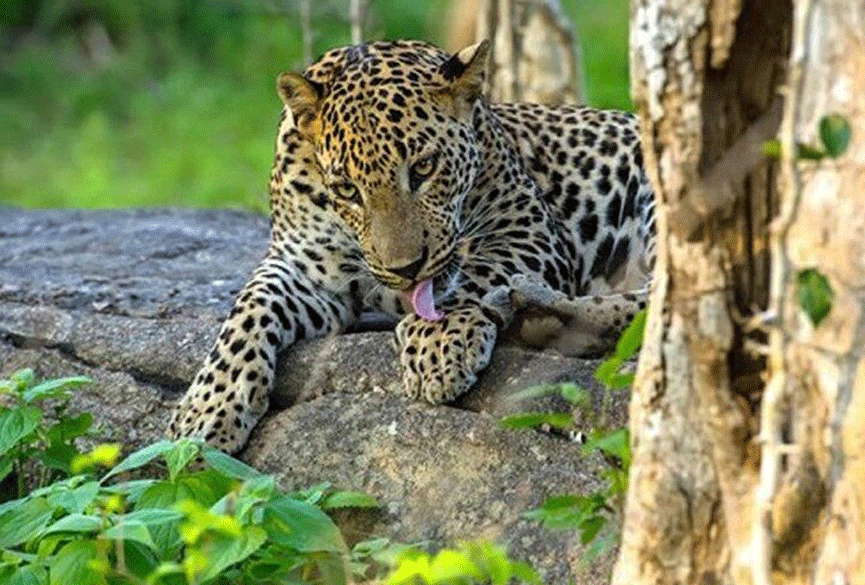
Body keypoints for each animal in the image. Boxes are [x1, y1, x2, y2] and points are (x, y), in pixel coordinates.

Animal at [167, 39, 655, 453]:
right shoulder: (303, 267)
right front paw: (205, 410)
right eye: (347, 190)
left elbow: (472, 278)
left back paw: (538, 311)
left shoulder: (528, 229)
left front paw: (436, 343)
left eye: (423, 167)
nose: (405, 268)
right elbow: (249, 309)